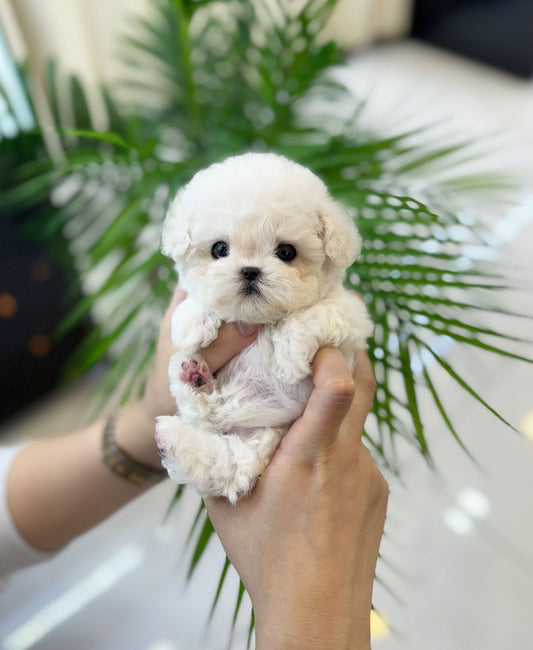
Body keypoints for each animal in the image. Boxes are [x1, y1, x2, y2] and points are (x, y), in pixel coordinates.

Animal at [155, 152, 370, 502]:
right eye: (219, 249)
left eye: (286, 252)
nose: (250, 271)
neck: (259, 319)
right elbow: (195, 301)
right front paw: (193, 323)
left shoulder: (351, 315)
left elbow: (309, 316)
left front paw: (289, 358)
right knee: (206, 424)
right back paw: (191, 382)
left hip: (262, 442)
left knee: (229, 465)